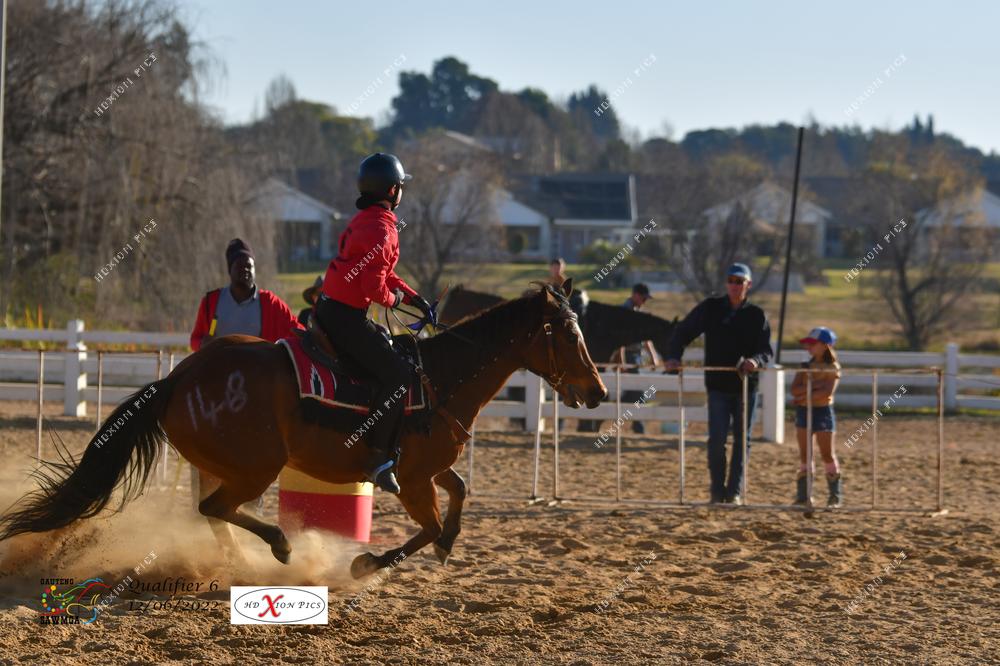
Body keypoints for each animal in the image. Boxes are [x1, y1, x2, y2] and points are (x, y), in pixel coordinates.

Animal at [0, 280, 604, 576]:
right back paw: (279, 548)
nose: (598, 392)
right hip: (257, 467)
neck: (437, 379)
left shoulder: (429, 470)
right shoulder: (410, 481)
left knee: (211, 512)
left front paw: (449, 543)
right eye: (570, 334)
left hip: (225, 465)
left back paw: (241, 561)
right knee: (216, 508)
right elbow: (428, 524)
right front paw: (366, 563)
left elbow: (459, 492)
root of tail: (177, 377)